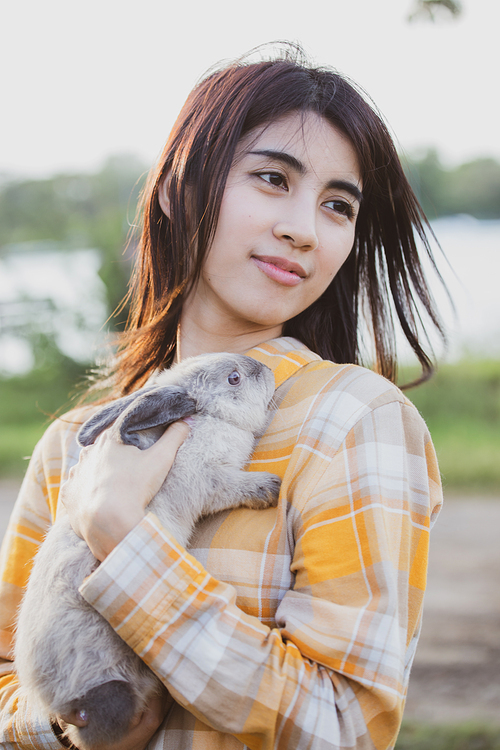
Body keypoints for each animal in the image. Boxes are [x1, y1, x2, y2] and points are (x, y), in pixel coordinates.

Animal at [14, 354, 282, 750]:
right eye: (233, 379)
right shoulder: (211, 480)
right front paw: (269, 488)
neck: (211, 417)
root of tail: (65, 704)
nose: (267, 369)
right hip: (107, 690)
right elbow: (234, 486)